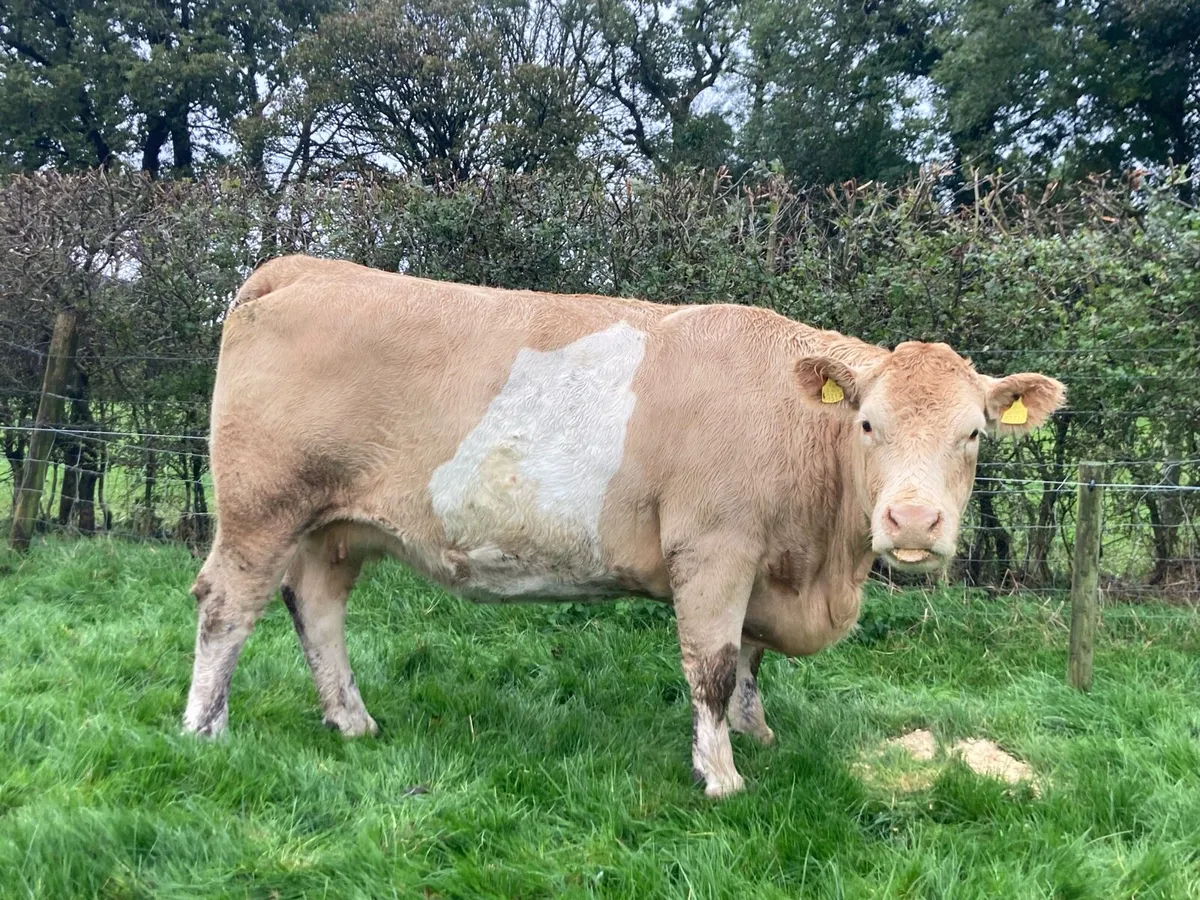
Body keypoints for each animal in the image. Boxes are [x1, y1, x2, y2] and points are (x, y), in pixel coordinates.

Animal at [183, 254, 1065, 797]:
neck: (817, 567)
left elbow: (749, 657)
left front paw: (757, 733)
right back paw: (203, 729)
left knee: (317, 607)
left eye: (974, 434)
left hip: (336, 526)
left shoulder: (756, 567)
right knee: (225, 605)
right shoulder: (714, 547)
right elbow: (713, 665)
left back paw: (352, 720)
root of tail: (304, 267)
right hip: (262, 506)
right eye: (868, 424)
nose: (912, 519)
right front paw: (720, 774)